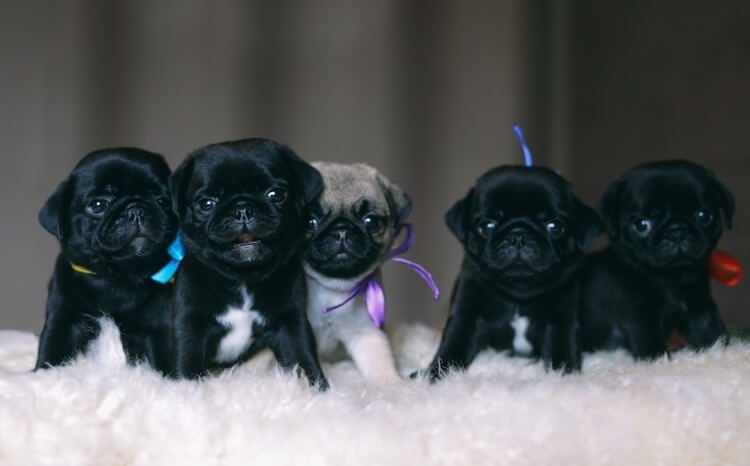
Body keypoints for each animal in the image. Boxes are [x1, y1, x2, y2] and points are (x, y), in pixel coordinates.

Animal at [37, 147, 180, 374]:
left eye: (163, 202)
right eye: (98, 205)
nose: (136, 210)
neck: (117, 275)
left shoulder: (160, 326)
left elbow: (167, 359)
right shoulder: (63, 320)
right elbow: (52, 352)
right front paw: (43, 374)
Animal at [170, 138, 328, 390]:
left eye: (276, 194)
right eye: (206, 203)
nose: (242, 209)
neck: (242, 278)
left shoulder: (290, 322)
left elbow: (304, 359)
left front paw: (320, 391)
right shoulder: (190, 324)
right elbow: (186, 362)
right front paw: (184, 390)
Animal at [302, 162, 414, 384]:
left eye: (370, 221)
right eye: (310, 221)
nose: (341, 231)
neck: (331, 289)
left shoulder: (366, 332)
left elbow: (380, 365)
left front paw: (394, 385)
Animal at [420, 166, 608, 380]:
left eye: (554, 227)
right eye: (487, 226)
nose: (518, 234)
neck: (519, 295)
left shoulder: (562, 321)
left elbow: (562, 351)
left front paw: (565, 376)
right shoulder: (466, 314)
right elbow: (453, 346)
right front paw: (434, 375)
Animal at [580, 158, 736, 358]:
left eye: (704, 216)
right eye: (642, 225)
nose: (677, 231)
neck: (672, 280)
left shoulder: (700, 310)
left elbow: (714, 336)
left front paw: (724, 353)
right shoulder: (641, 317)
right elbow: (650, 344)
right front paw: (657, 359)